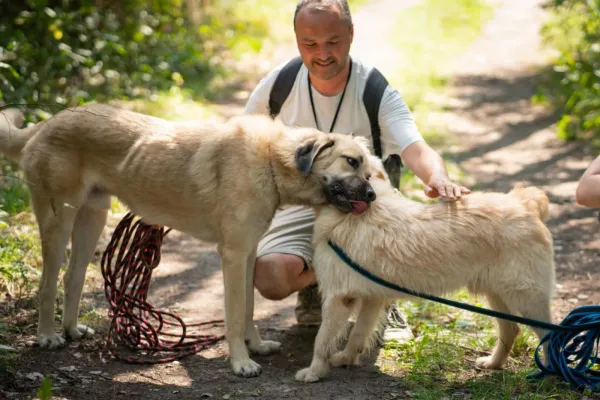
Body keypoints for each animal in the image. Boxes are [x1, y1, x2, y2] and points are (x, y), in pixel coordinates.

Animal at [0, 104, 376, 378]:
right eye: (351, 161)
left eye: (370, 172)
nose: (373, 196)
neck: (271, 159)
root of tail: (46, 123)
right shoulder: (233, 255)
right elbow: (234, 313)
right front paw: (240, 362)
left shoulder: (248, 253)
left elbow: (249, 308)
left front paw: (255, 346)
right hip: (58, 220)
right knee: (48, 283)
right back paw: (47, 336)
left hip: (92, 218)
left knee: (72, 277)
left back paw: (72, 330)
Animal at [298, 154, 556, 382]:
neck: (358, 211)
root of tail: (524, 203)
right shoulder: (371, 297)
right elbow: (358, 333)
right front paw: (347, 358)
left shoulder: (339, 297)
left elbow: (322, 339)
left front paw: (314, 372)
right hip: (496, 293)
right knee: (511, 329)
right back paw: (493, 363)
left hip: (525, 297)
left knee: (551, 334)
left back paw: (550, 378)